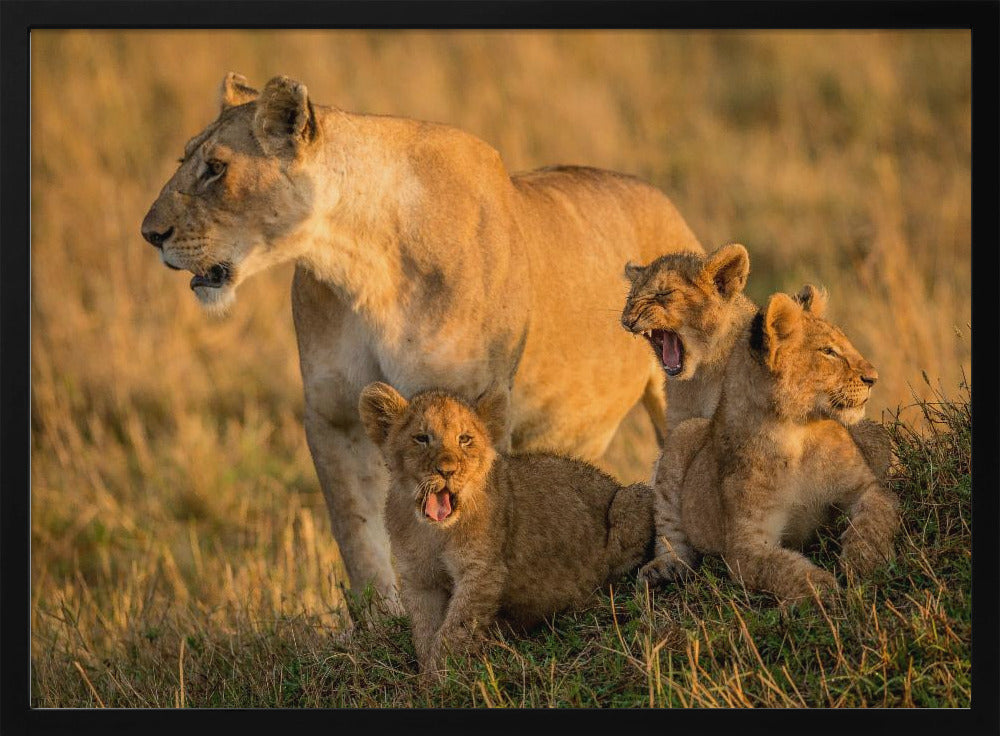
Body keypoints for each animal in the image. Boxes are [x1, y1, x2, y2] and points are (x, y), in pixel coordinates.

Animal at [140, 73, 703, 607]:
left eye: (216, 168)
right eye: (185, 159)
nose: (150, 234)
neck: (362, 264)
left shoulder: (472, 407)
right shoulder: (333, 414)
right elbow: (358, 534)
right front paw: (380, 621)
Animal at [358, 381, 653, 676]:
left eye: (464, 439)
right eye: (421, 438)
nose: (447, 470)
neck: (435, 532)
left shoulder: (481, 572)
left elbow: (454, 630)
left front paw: (442, 676)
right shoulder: (419, 579)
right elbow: (425, 632)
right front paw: (429, 676)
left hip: (631, 499)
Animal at [638, 285, 900, 602]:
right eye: (828, 352)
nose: (873, 378)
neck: (797, 434)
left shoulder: (866, 488)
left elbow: (874, 518)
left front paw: (864, 562)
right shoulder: (746, 546)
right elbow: (781, 568)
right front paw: (824, 589)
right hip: (683, 434)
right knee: (670, 532)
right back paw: (663, 569)